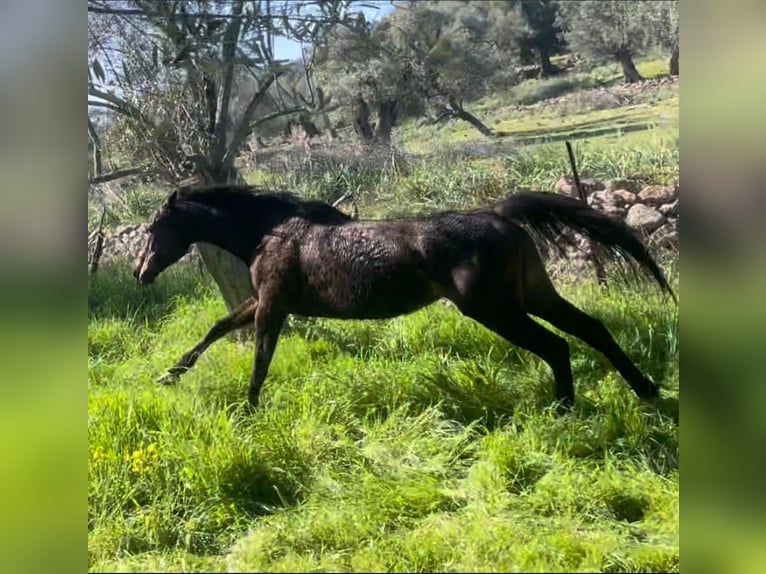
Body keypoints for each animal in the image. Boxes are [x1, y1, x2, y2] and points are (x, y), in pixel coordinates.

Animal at [133, 184, 675, 411]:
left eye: (156, 228)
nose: (140, 272)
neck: (272, 232)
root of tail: (500, 215)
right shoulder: (268, 302)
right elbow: (218, 328)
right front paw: (169, 374)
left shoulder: (273, 306)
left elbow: (260, 360)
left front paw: (247, 412)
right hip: (533, 295)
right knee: (590, 330)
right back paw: (646, 390)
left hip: (493, 308)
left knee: (557, 346)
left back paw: (562, 410)